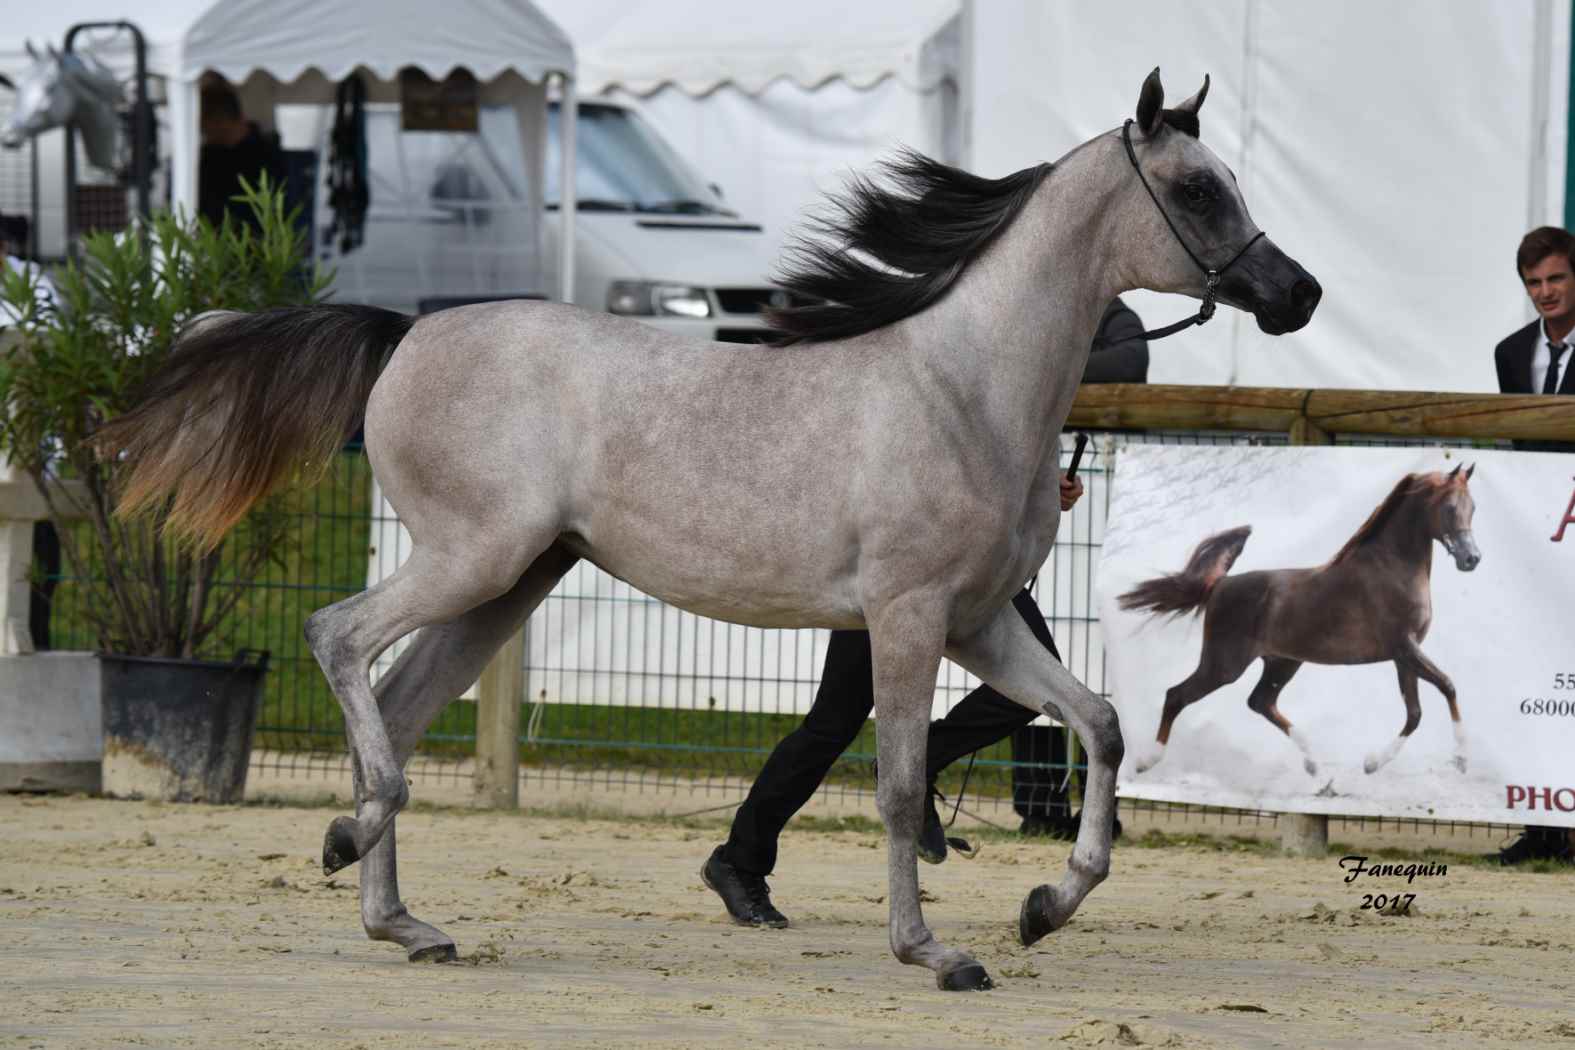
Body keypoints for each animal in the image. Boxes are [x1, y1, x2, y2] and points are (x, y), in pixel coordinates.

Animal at [95, 69, 1316, 988]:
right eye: (1197, 189)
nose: (1296, 295)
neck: (961, 387)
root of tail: (405, 334)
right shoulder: (910, 618)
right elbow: (899, 784)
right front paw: (933, 952)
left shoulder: (981, 625)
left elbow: (1100, 723)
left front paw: (1042, 907)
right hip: (473, 558)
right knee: (339, 637)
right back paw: (358, 842)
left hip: (510, 582)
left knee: (393, 705)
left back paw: (402, 920)